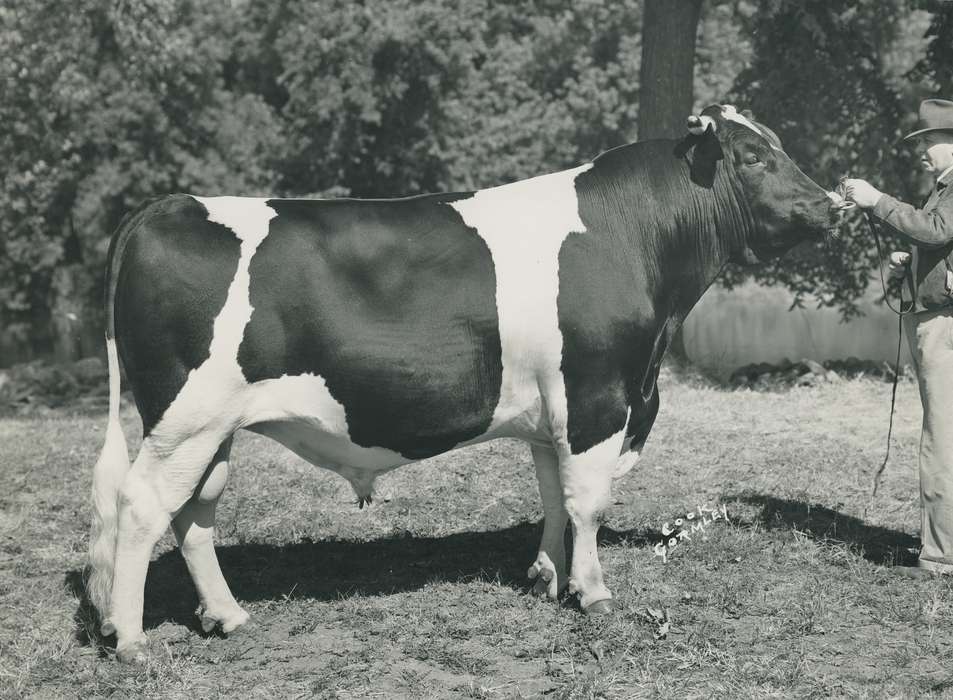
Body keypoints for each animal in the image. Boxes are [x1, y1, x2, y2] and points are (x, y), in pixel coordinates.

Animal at [86, 104, 844, 662]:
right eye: (755, 157)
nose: (831, 205)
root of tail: (167, 205)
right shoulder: (598, 397)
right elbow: (589, 502)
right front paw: (592, 592)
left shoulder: (551, 410)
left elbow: (553, 496)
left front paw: (546, 577)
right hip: (186, 418)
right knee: (143, 507)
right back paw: (131, 641)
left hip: (209, 429)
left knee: (194, 513)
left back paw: (226, 614)